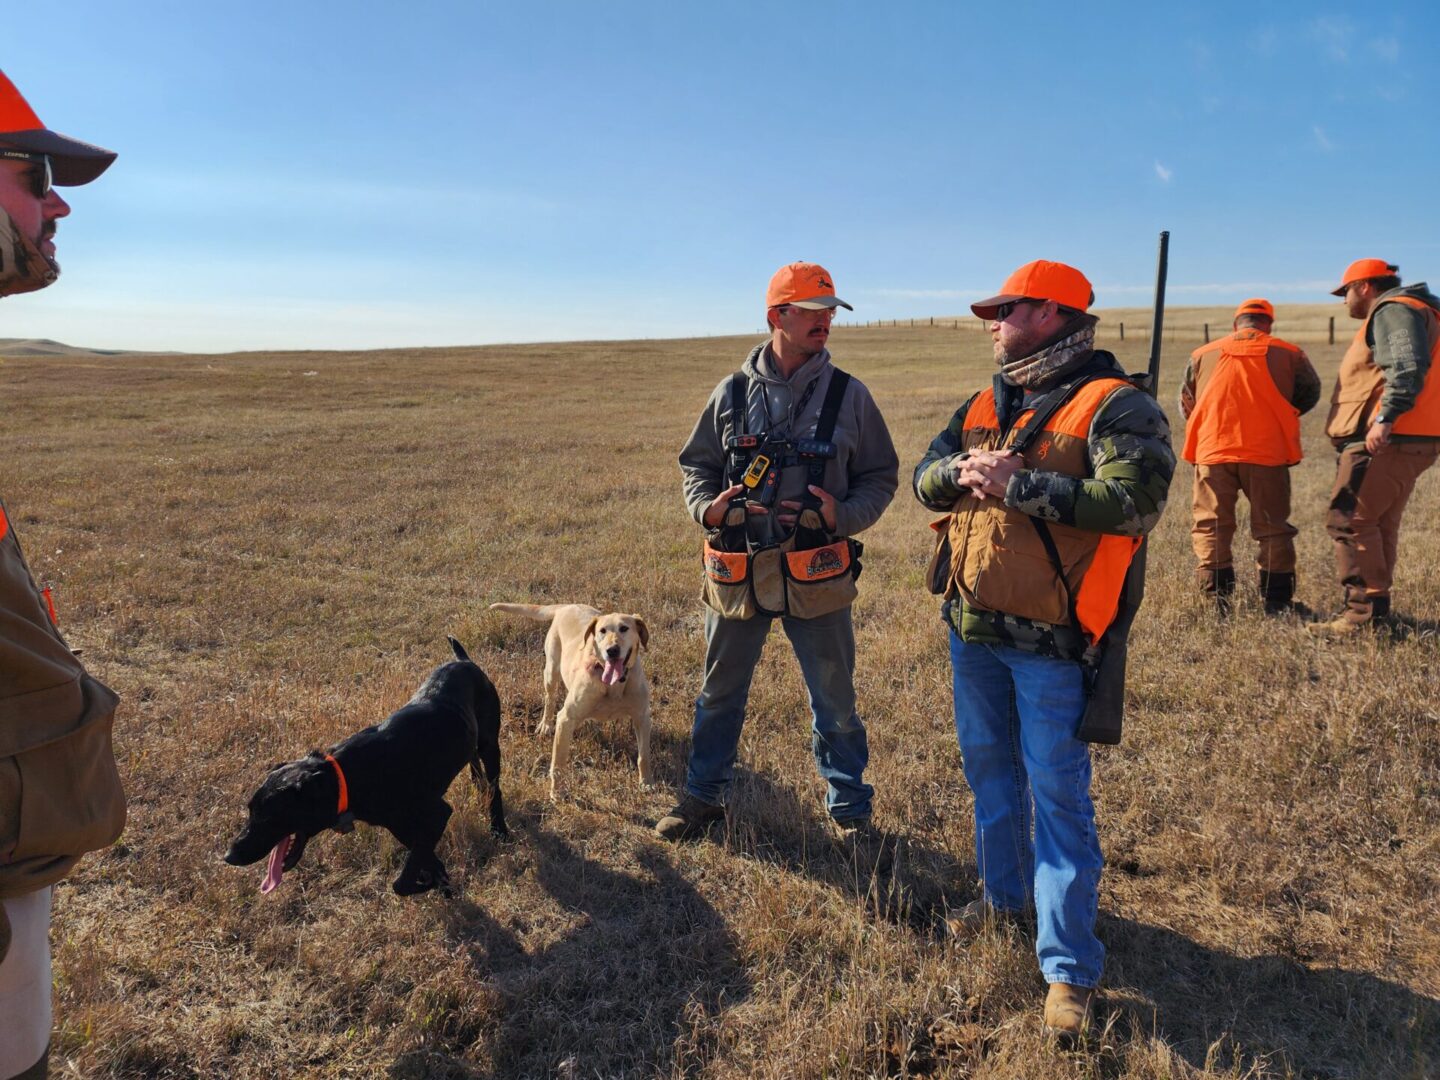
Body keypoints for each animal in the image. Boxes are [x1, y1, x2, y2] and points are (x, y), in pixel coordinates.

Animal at [224, 639, 512, 898]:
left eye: (267, 817)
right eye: (250, 810)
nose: (229, 856)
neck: (350, 776)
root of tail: (464, 661)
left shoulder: (437, 813)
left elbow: (402, 881)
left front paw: (429, 884)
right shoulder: (398, 824)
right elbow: (424, 857)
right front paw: (438, 881)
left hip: (489, 745)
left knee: (494, 788)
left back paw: (499, 829)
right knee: (475, 767)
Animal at [492, 604, 656, 800]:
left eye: (624, 628)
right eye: (602, 631)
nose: (612, 650)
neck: (613, 684)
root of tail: (566, 605)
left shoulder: (642, 717)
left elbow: (644, 756)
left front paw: (646, 783)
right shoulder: (566, 718)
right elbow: (559, 762)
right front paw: (557, 792)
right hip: (551, 671)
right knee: (550, 699)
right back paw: (545, 725)